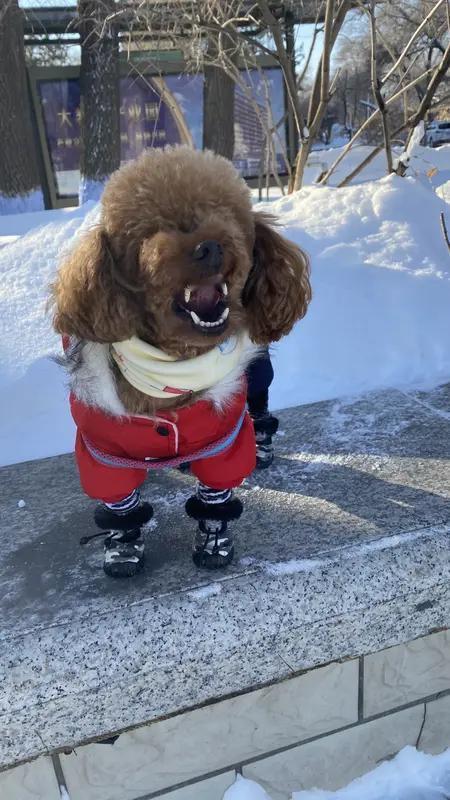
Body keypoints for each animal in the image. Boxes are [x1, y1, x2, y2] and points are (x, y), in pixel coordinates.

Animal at [52, 146, 311, 577]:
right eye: (147, 232)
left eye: (227, 214)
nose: (210, 246)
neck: (171, 369)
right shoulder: (99, 446)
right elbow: (118, 502)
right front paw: (123, 547)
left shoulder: (224, 436)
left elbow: (216, 493)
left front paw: (214, 541)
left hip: (258, 376)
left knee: (259, 406)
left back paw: (262, 445)